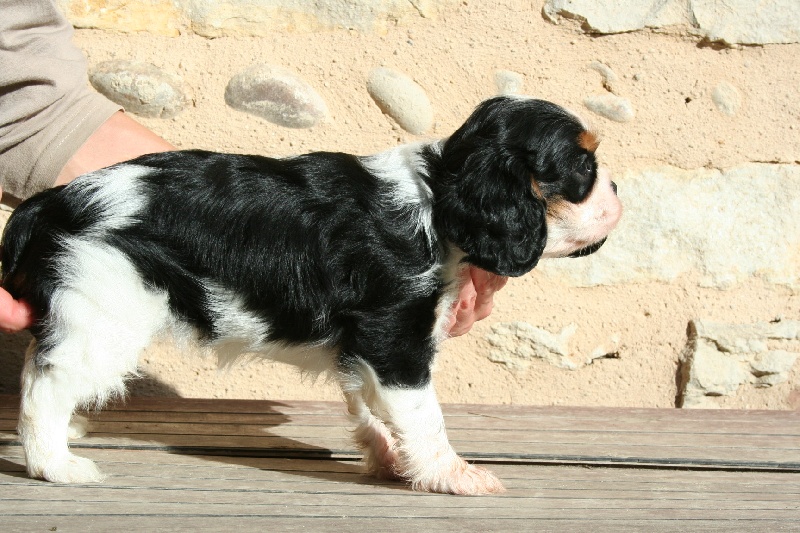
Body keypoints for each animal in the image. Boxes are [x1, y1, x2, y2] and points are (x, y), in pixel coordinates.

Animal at [2, 96, 622, 495]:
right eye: (583, 167)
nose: (617, 187)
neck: (439, 199)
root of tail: (56, 200)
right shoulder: (395, 339)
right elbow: (423, 415)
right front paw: (450, 474)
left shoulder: (363, 347)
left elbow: (371, 406)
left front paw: (387, 458)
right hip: (106, 312)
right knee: (44, 383)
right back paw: (55, 464)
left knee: (39, 364)